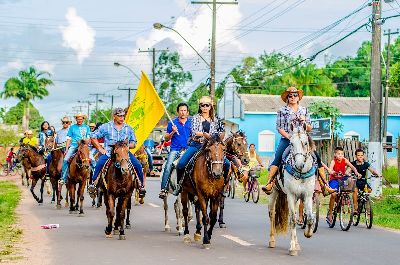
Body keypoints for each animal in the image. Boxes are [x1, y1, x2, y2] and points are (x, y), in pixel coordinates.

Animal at [268, 122, 316, 255]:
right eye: (291, 144)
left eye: (305, 143)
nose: (299, 164)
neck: (301, 173)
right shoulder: (290, 195)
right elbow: (293, 220)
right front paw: (293, 249)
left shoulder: (307, 196)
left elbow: (310, 218)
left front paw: (308, 233)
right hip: (274, 192)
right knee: (272, 213)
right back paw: (272, 241)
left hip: (297, 199)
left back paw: (297, 243)